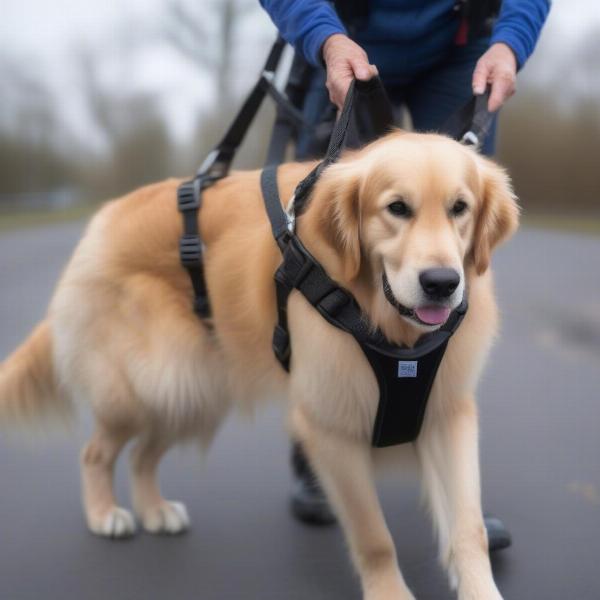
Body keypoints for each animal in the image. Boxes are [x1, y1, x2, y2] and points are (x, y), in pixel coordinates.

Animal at [0, 132, 516, 600]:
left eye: (460, 208)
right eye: (397, 208)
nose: (442, 283)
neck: (386, 325)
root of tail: (100, 225)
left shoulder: (447, 414)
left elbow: (468, 529)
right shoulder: (330, 428)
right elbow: (375, 538)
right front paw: (390, 594)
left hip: (189, 391)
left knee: (142, 455)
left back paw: (155, 510)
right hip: (145, 387)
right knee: (96, 452)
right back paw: (105, 514)